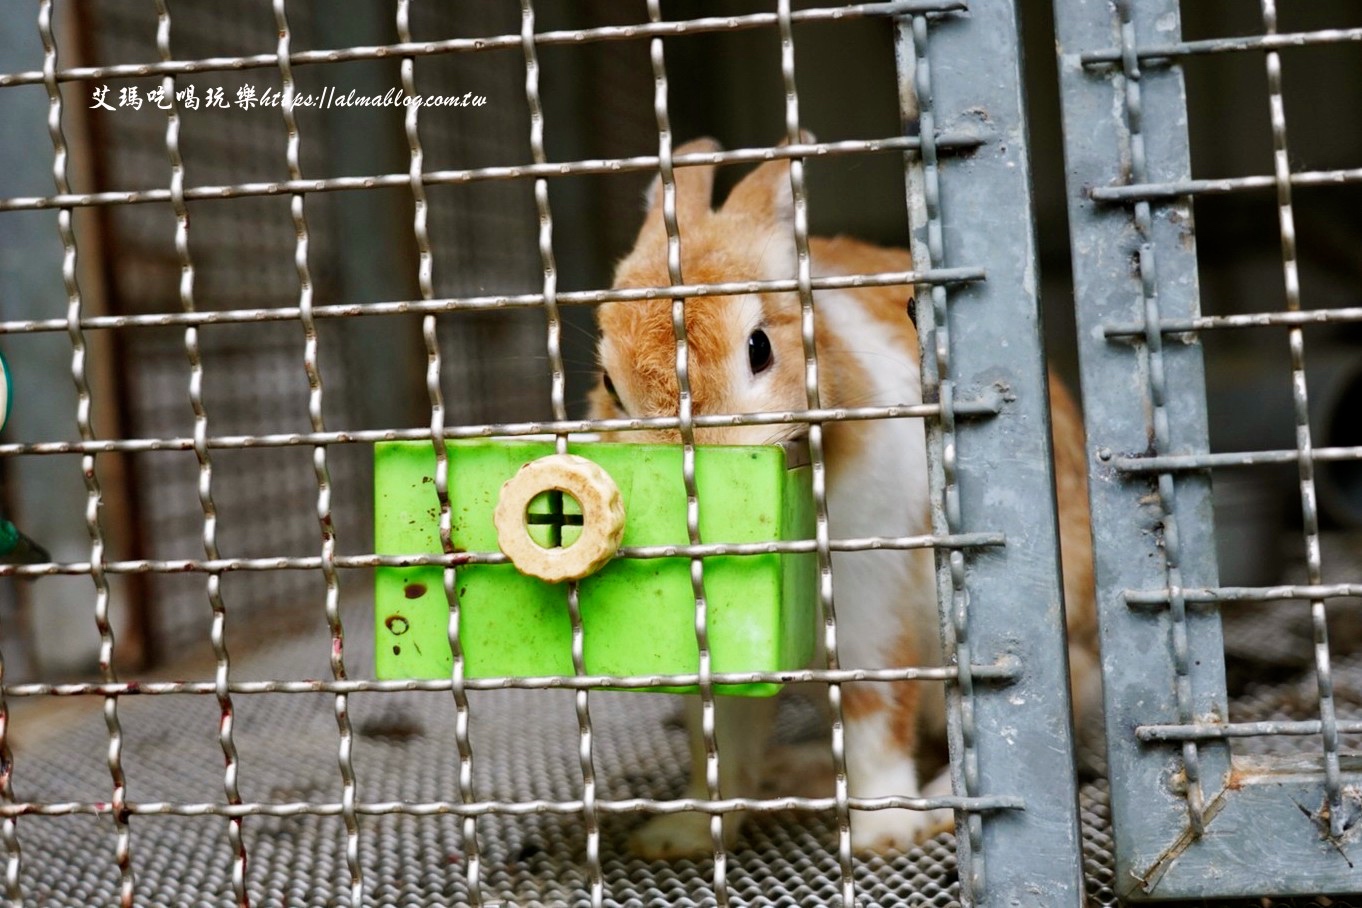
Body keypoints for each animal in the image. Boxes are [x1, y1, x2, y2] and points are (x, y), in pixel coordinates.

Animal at [585, 138, 1095, 865]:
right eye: (609, 385)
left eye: (760, 348)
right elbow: (723, 739)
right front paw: (681, 835)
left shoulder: (870, 608)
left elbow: (876, 714)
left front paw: (887, 830)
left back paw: (939, 802)